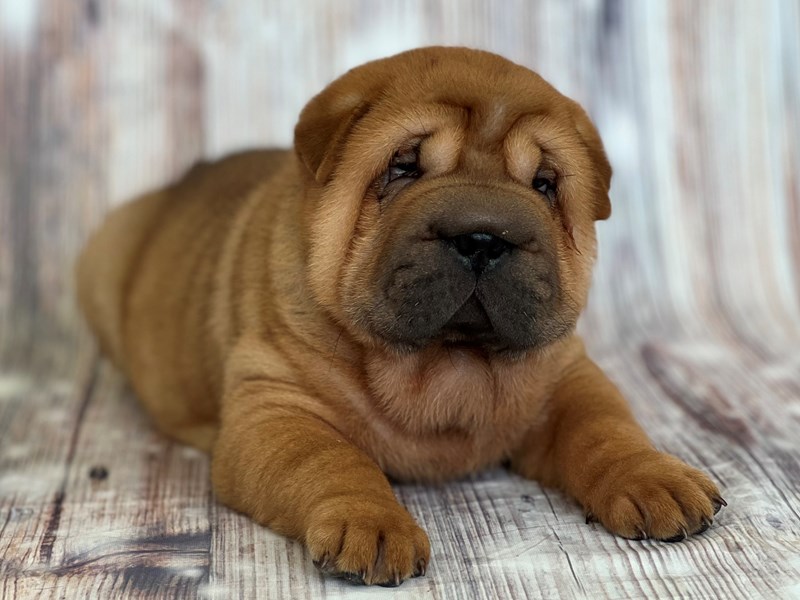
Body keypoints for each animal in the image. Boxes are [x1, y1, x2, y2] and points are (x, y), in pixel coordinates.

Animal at [78, 48, 720, 584]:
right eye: (404, 168)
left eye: (544, 185)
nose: (483, 238)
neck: (444, 364)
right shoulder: (276, 406)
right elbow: (330, 460)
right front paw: (373, 525)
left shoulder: (568, 374)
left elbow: (604, 426)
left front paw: (655, 476)